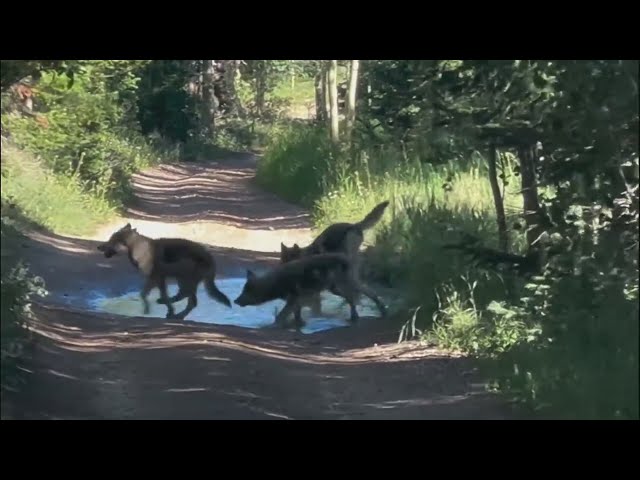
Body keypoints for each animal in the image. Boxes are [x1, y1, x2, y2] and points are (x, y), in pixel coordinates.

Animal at [96, 223, 231, 320]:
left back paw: (176, 312)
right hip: (182, 278)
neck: (137, 247)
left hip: (184, 278)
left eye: (110, 240)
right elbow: (158, 295)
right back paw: (177, 313)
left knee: (188, 297)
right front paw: (169, 311)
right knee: (189, 299)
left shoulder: (154, 278)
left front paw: (149, 310)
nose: (98, 247)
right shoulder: (159, 279)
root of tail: (210, 258)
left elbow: (145, 294)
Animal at [234, 251, 384, 330]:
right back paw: (354, 317)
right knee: (351, 298)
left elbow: (281, 315)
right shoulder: (296, 301)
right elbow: (296, 315)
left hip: (349, 283)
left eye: (246, 291)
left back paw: (382, 311)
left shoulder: (293, 299)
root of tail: (346, 258)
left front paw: (271, 326)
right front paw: (299, 325)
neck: (274, 283)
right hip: (334, 289)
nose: (235, 301)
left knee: (370, 293)